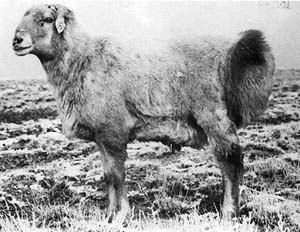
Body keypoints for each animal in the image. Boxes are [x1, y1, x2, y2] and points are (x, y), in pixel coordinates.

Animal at [12, 3, 276, 224]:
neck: (82, 59)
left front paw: (121, 216)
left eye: (47, 19)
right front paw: (109, 215)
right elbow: (108, 176)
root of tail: (230, 54)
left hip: (214, 116)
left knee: (231, 163)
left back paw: (229, 212)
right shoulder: (102, 137)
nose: (17, 39)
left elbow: (117, 176)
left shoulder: (113, 132)